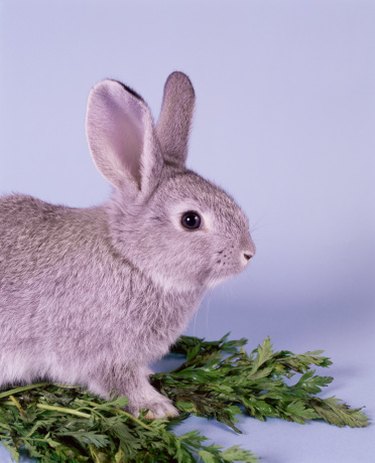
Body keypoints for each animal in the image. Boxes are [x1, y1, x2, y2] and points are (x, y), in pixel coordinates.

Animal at [0, 72, 256, 420]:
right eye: (190, 220)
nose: (248, 252)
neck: (130, 257)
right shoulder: (104, 352)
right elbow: (119, 382)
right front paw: (158, 407)